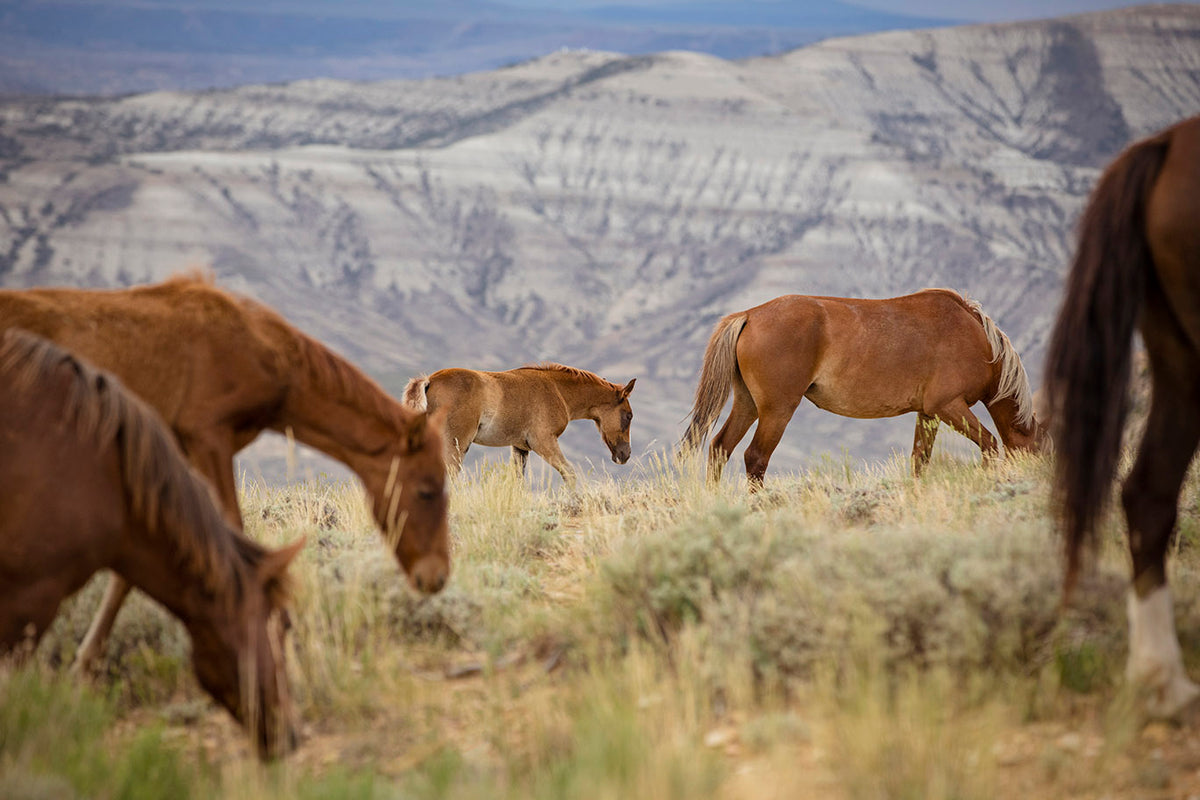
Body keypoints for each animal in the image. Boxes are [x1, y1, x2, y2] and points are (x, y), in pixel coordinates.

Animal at [403, 364, 638, 489]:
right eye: (628, 416)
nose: (625, 455)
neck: (557, 390)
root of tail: (429, 380)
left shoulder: (520, 447)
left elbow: (517, 482)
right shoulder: (543, 441)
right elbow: (569, 472)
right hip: (456, 443)